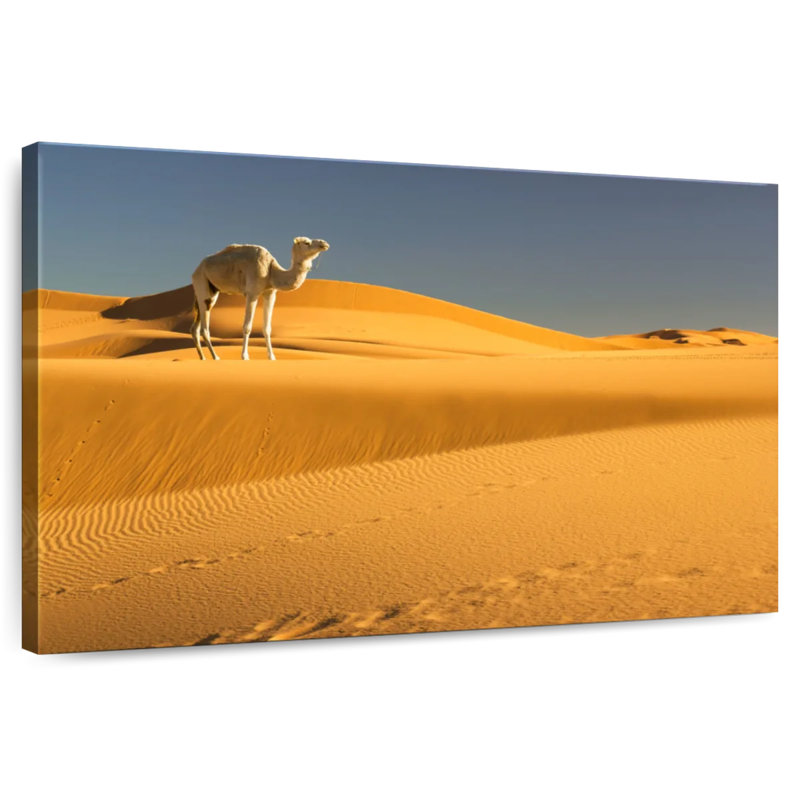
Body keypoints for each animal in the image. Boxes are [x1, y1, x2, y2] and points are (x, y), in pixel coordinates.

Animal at [190, 236, 329, 361]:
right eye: (306, 242)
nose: (324, 243)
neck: (271, 271)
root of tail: (196, 269)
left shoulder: (270, 293)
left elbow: (267, 328)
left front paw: (272, 357)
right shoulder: (252, 293)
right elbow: (247, 327)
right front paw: (245, 356)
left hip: (210, 290)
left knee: (195, 327)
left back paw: (203, 357)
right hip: (202, 281)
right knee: (204, 327)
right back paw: (215, 357)